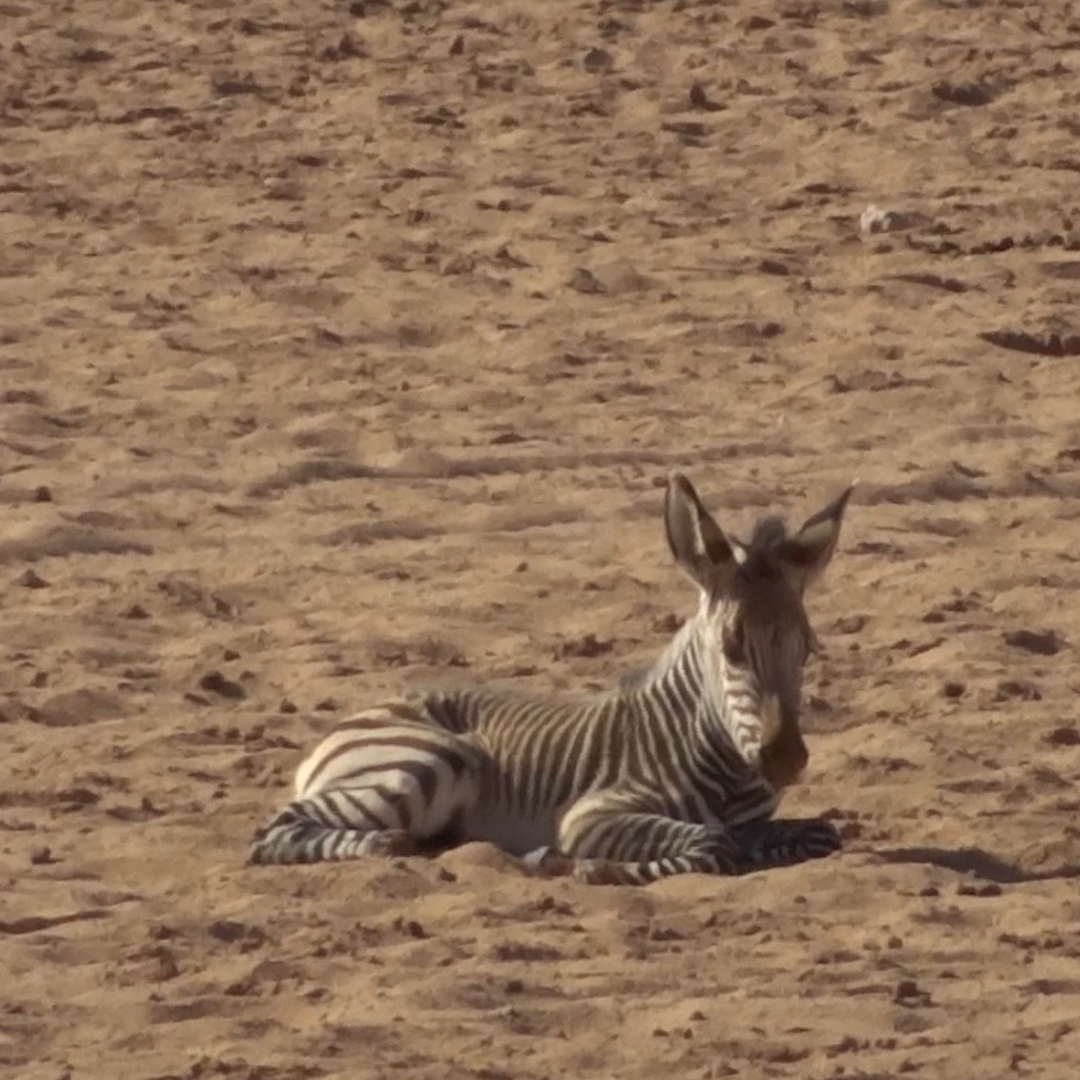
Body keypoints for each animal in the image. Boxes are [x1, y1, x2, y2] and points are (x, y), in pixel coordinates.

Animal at [247, 472, 856, 885]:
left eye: (807, 648)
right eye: (731, 647)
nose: (786, 760)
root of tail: (345, 725)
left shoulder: (762, 819)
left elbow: (819, 833)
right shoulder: (592, 814)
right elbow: (712, 845)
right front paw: (583, 866)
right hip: (431, 760)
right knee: (271, 833)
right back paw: (383, 843)